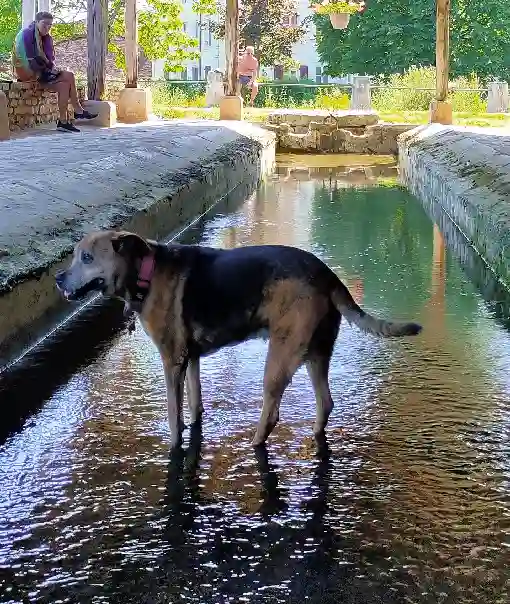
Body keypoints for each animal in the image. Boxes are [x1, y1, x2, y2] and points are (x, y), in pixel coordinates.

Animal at [55, 231, 422, 448]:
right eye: (73, 255)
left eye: (87, 258)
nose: (58, 278)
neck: (145, 272)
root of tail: (328, 275)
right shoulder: (191, 358)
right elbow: (194, 401)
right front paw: (195, 422)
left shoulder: (172, 360)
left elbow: (173, 415)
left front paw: (174, 444)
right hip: (316, 352)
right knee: (326, 402)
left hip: (281, 355)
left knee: (272, 412)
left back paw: (255, 444)